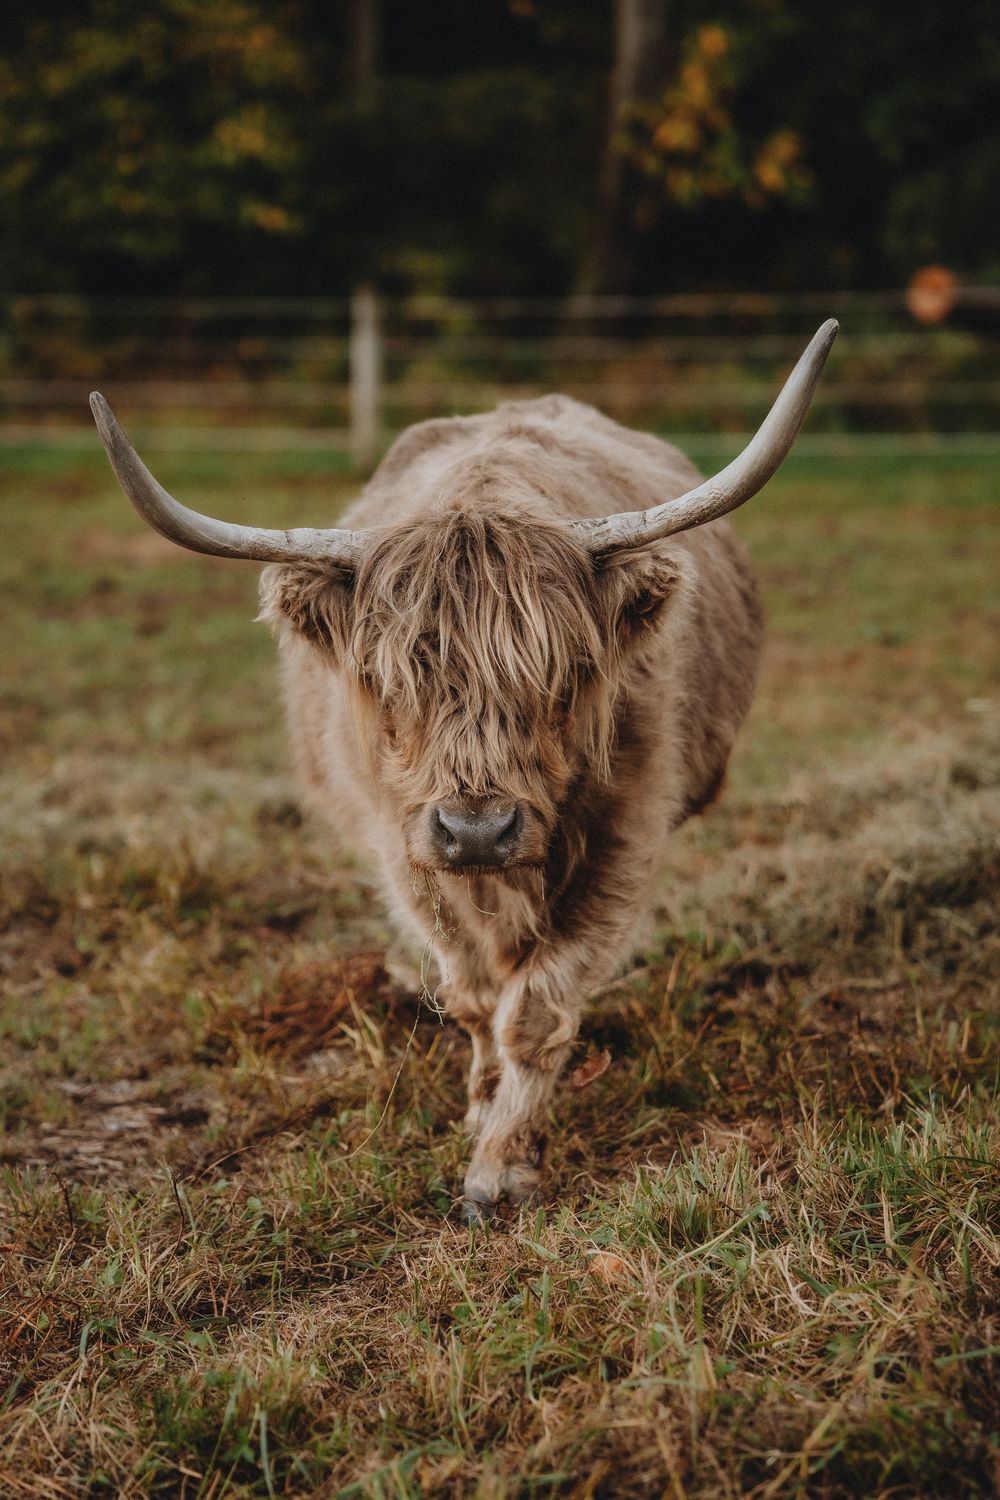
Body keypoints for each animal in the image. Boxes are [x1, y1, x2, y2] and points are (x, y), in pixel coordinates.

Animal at [90, 319, 837, 1221]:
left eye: (561, 675)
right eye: (385, 681)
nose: (478, 829)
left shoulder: (625, 838)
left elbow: (538, 1008)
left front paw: (502, 1168)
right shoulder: (403, 847)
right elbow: (474, 994)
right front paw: (483, 1110)